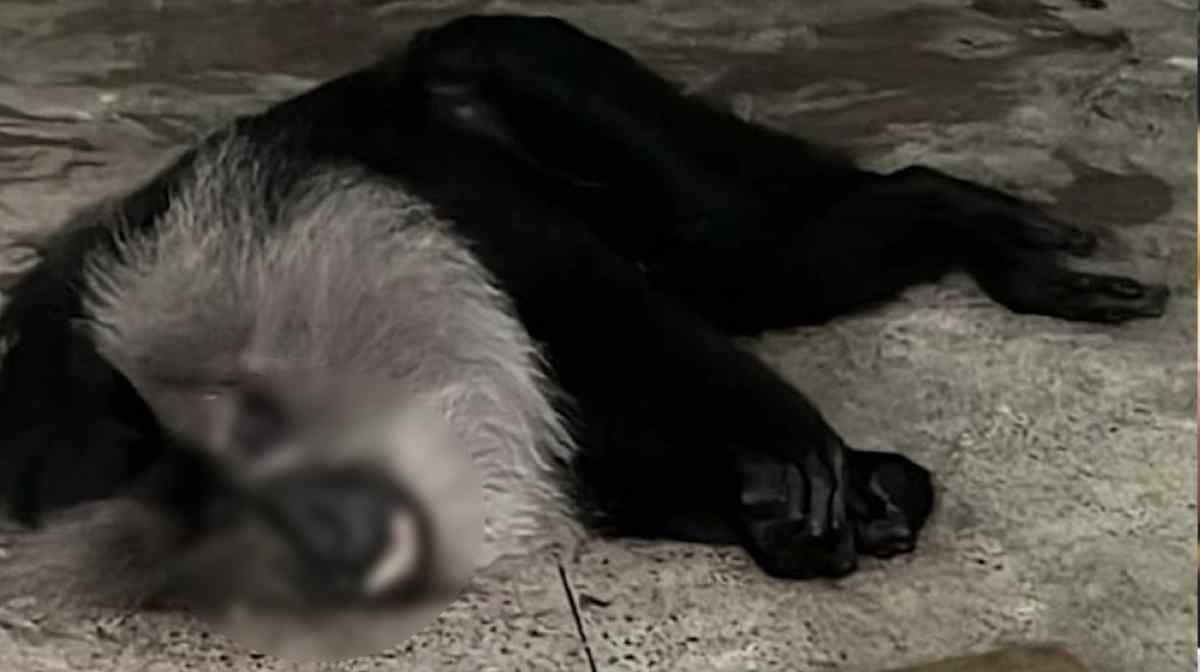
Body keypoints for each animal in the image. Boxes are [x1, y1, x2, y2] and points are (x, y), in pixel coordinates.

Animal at [0, 13, 1168, 658]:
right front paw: (797, 510)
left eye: (242, 466)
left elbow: (574, 282)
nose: (338, 548)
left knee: (753, 249)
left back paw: (976, 224)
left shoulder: (353, 197)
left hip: (534, 69)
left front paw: (790, 442)